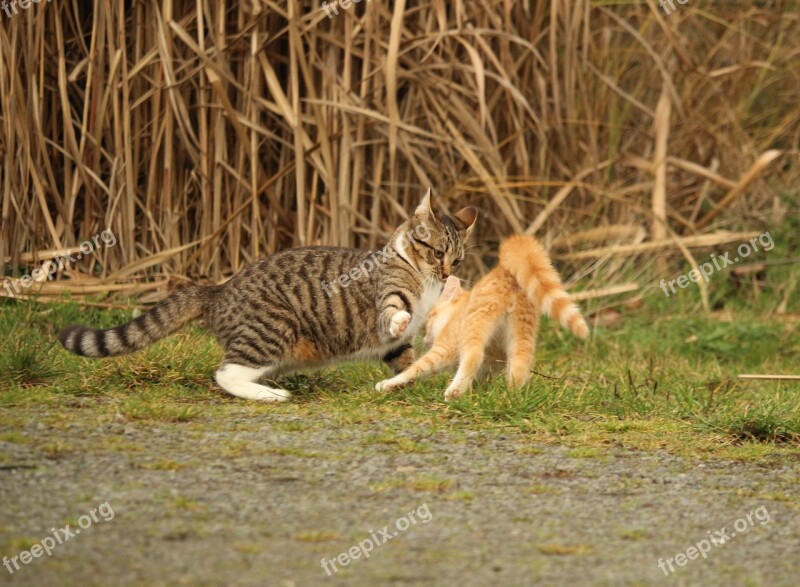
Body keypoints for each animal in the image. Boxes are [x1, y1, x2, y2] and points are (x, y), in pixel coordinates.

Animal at [62, 191, 478, 402]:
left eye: (457, 260)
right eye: (436, 253)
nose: (446, 274)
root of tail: (218, 289)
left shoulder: (396, 346)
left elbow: (405, 362)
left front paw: (404, 382)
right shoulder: (388, 296)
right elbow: (393, 311)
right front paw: (402, 319)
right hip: (273, 327)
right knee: (226, 373)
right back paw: (269, 395)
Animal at [376, 234, 588, 400]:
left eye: (429, 321)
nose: (426, 337)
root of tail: (507, 274)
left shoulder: (446, 347)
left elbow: (416, 368)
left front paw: (389, 384)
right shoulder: (492, 363)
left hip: (476, 324)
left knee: (473, 355)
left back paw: (454, 392)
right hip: (522, 334)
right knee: (520, 365)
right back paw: (509, 397)